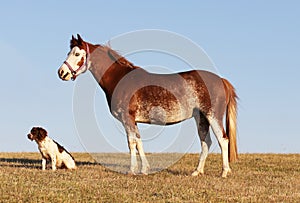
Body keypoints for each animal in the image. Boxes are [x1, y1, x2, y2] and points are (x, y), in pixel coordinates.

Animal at [57, 34, 238, 177]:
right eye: (69, 53)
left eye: (77, 53)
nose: (61, 73)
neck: (121, 79)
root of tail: (221, 80)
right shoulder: (133, 121)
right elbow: (139, 142)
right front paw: (144, 169)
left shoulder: (127, 118)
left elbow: (131, 143)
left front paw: (132, 170)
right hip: (201, 118)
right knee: (206, 142)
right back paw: (197, 171)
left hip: (213, 116)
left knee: (223, 140)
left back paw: (224, 172)